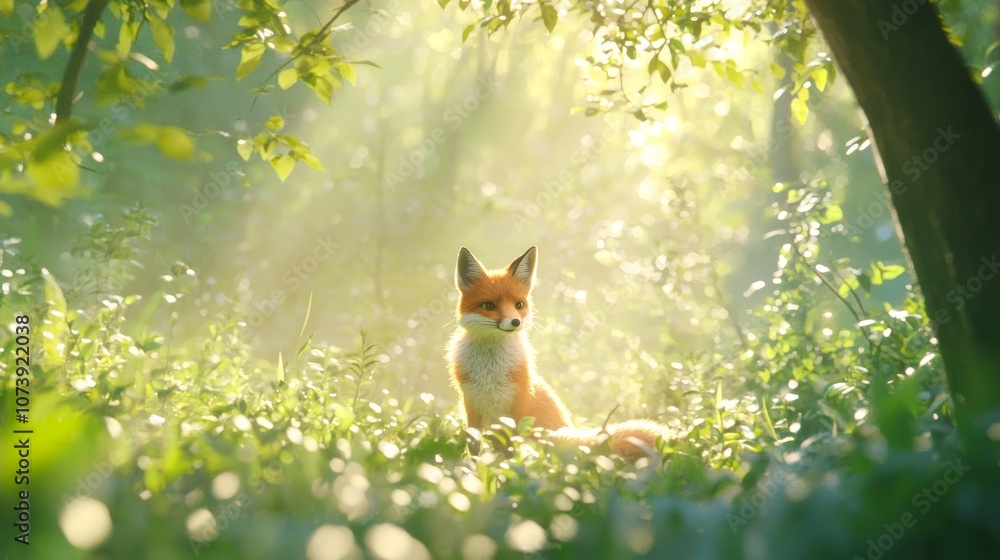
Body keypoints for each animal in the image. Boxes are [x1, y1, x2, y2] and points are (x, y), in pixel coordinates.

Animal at [446, 245, 672, 461]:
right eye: (488, 306)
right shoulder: (470, 403)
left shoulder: (518, 402)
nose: (515, 322)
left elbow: (512, 448)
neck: (490, 370)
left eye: (519, 305)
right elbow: (474, 448)